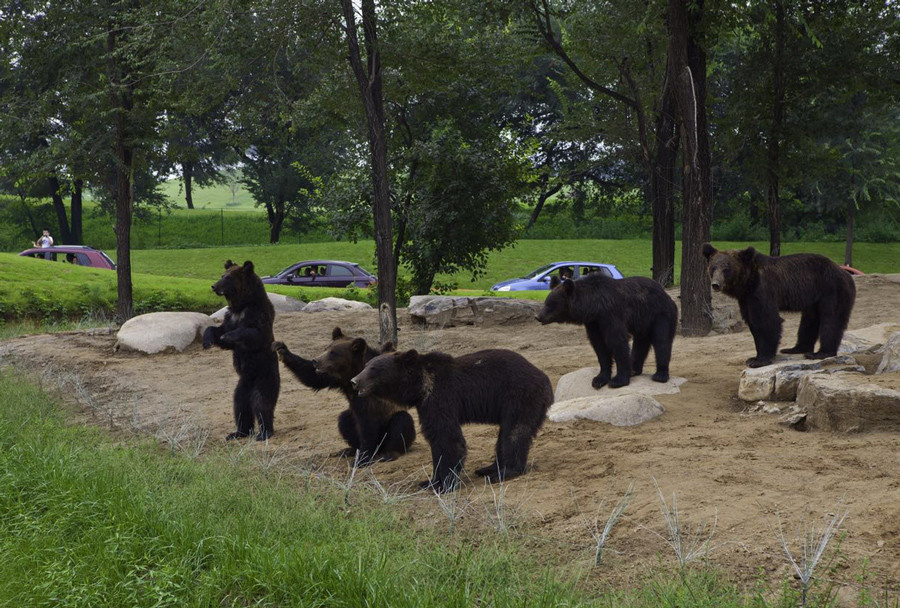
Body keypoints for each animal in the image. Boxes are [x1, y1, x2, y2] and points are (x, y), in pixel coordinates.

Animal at [203, 258, 278, 440]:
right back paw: (238, 432)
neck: (241, 306)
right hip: (242, 385)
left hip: (264, 376)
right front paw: (208, 340)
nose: (214, 286)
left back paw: (264, 432)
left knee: (262, 403)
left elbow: (253, 333)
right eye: (222, 275)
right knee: (240, 406)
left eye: (229, 277)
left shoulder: (258, 316)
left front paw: (228, 336)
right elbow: (217, 330)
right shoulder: (231, 318)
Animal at [348, 346, 552, 494]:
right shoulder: (425, 405)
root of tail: (545, 379)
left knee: (514, 432)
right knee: (504, 436)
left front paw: (443, 485)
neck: (420, 387)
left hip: (520, 397)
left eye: (374, 369)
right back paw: (489, 468)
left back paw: (504, 472)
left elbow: (446, 437)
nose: (354, 381)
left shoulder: (440, 397)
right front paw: (429, 481)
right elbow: (436, 440)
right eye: (365, 366)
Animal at [536, 274, 676, 390]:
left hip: (660, 314)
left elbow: (617, 341)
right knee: (641, 342)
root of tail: (666, 294)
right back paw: (634, 369)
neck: (593, 306)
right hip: (643, 320)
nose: (538, 316)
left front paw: (618, 380)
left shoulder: (610, 314)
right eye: (546, 302)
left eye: (550, 304)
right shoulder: (593, 323)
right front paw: (599, 379)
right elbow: (600, 346)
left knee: (661, 340)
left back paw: (660, 374)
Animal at [700, 241, 856, 366]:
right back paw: (795, 348)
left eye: (726, 269)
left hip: (831, 289)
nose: (716, 284)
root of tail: (845, 273)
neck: (748, 283)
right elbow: (753, 322)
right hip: (814, 297)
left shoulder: (762, 291)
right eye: (713, 267)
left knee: (831, 318)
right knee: (809, 320)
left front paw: (760, 360)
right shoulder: (746, 299)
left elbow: (768, 321)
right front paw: (754, 357)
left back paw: (820, 353)